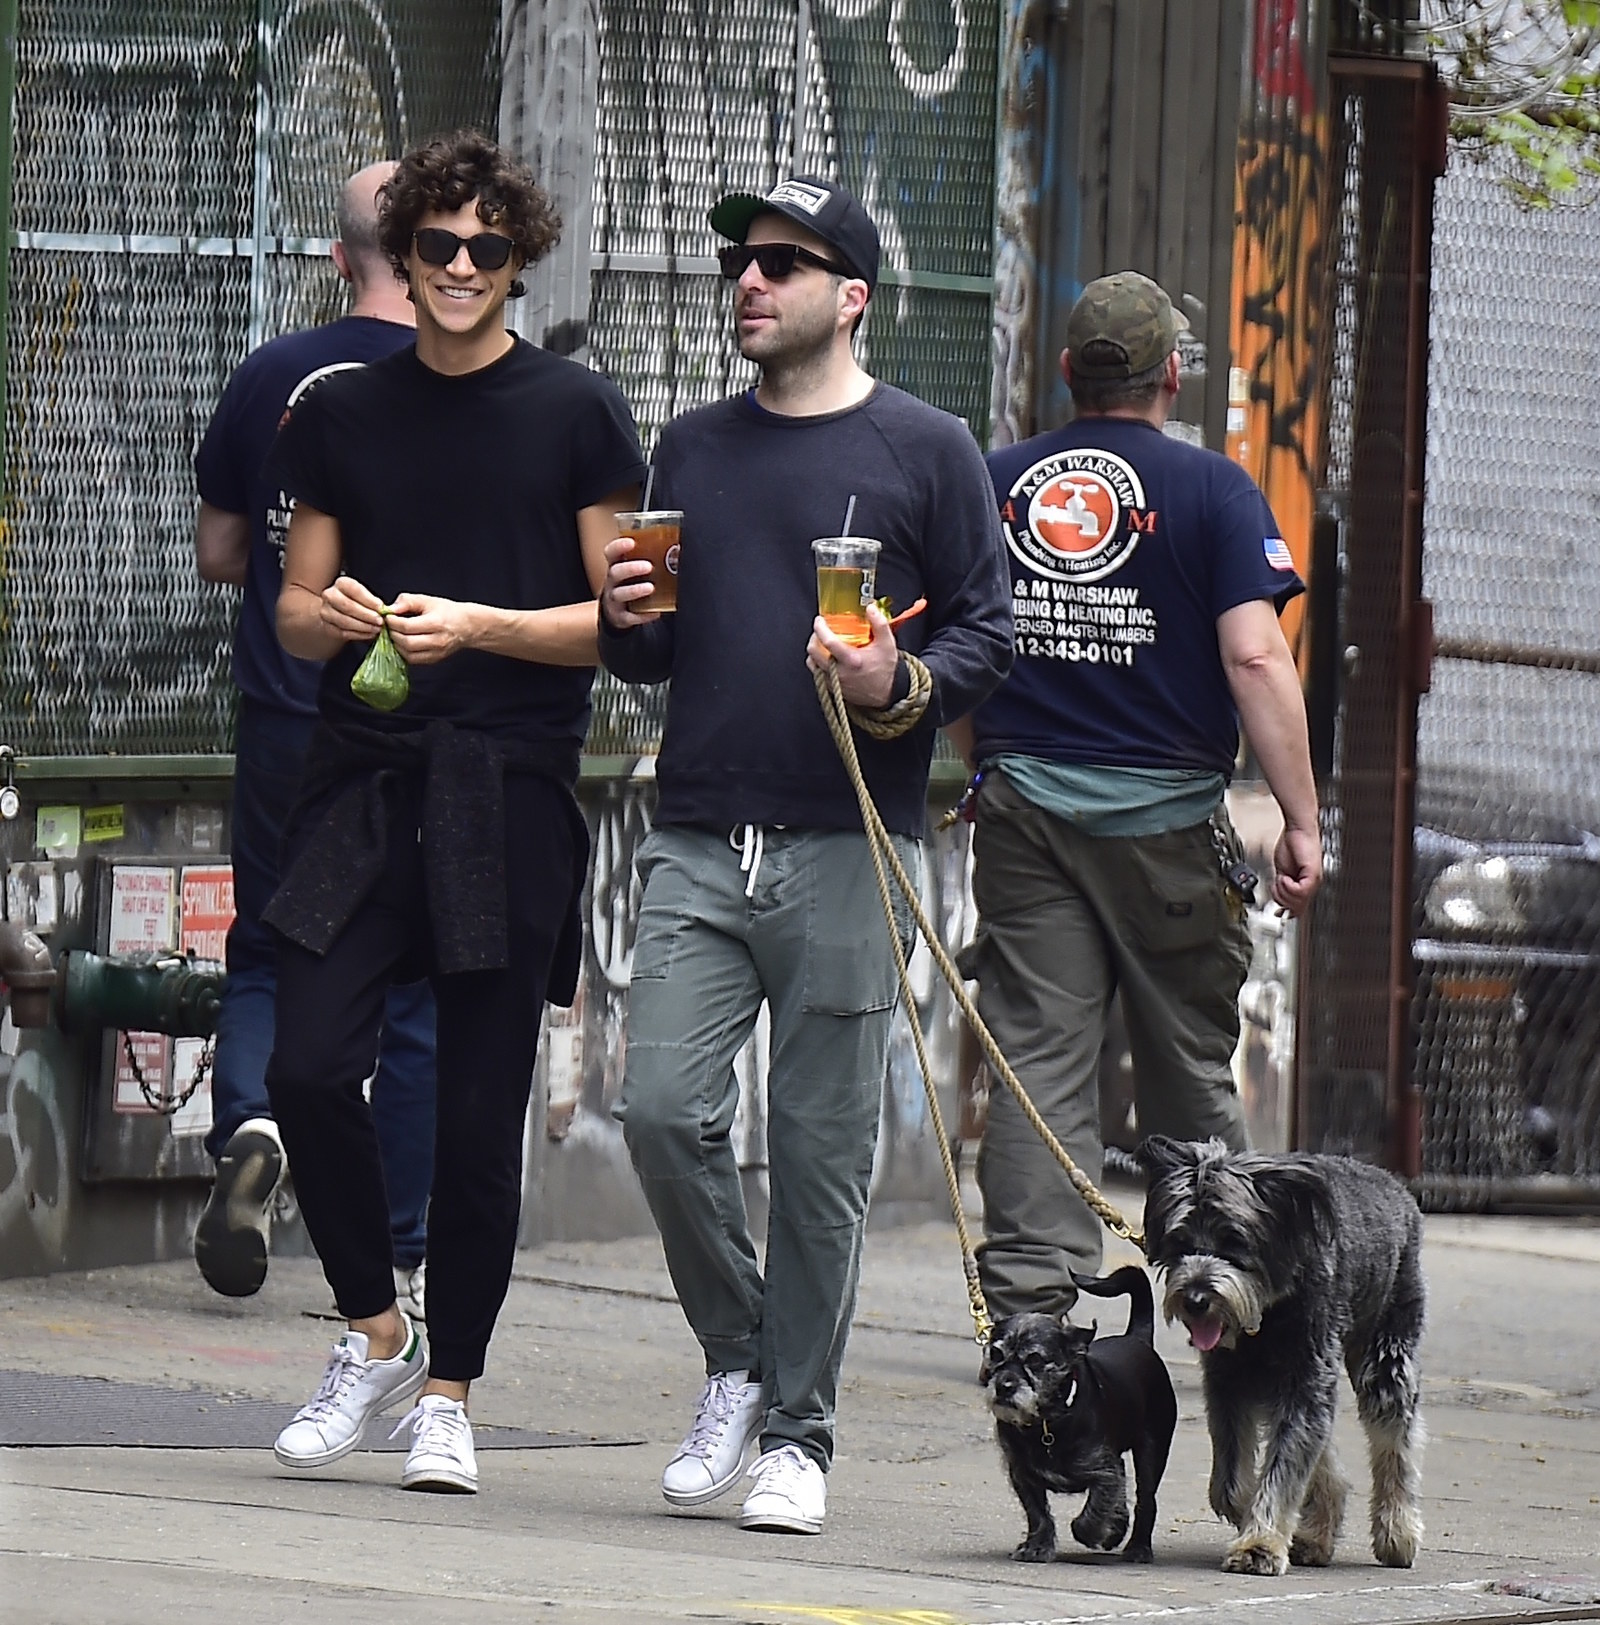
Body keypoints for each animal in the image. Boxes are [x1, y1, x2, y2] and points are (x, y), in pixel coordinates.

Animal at [981, 1267, 1182, 1560]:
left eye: (1035, 1360)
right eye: (995, 1354)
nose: (1004, 1386)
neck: (1047, 1425)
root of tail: (1137, 1338)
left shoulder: (1103, 1470)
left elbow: (1094, 1509)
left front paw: (1096, 1532)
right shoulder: (1022, 1474)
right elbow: (1037, 1513)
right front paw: (1037, 1546)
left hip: (1152, 1450)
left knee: (1146, 1499)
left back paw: (1138, 1547)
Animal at [1137, 1131, 1422, 1573]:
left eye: (1234, 1241)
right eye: (1179, 1243)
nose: (1196, 1299)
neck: (1266, 1316)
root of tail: (1394, 1186)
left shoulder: (1306, 1378)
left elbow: (1284, 1468)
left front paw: (1260, 1543)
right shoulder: (1228, 1382)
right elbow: (1232, 1483)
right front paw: (1256, 1520)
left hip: (1385, 1357)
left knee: (1395, 1443)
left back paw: (1397, 1532)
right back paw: (1318, 1532)